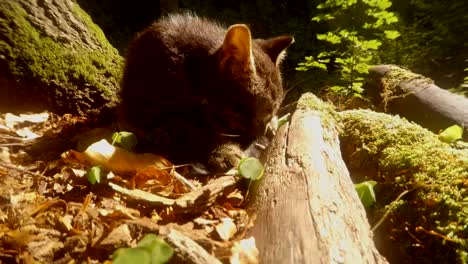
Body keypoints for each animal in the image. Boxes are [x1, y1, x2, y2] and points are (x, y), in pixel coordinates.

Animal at [118, 13, 292, 172]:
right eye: (259, 115)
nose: (260, 133)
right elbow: (194, 133)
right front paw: (222, 151)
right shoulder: (155, 113)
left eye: (269, 114)